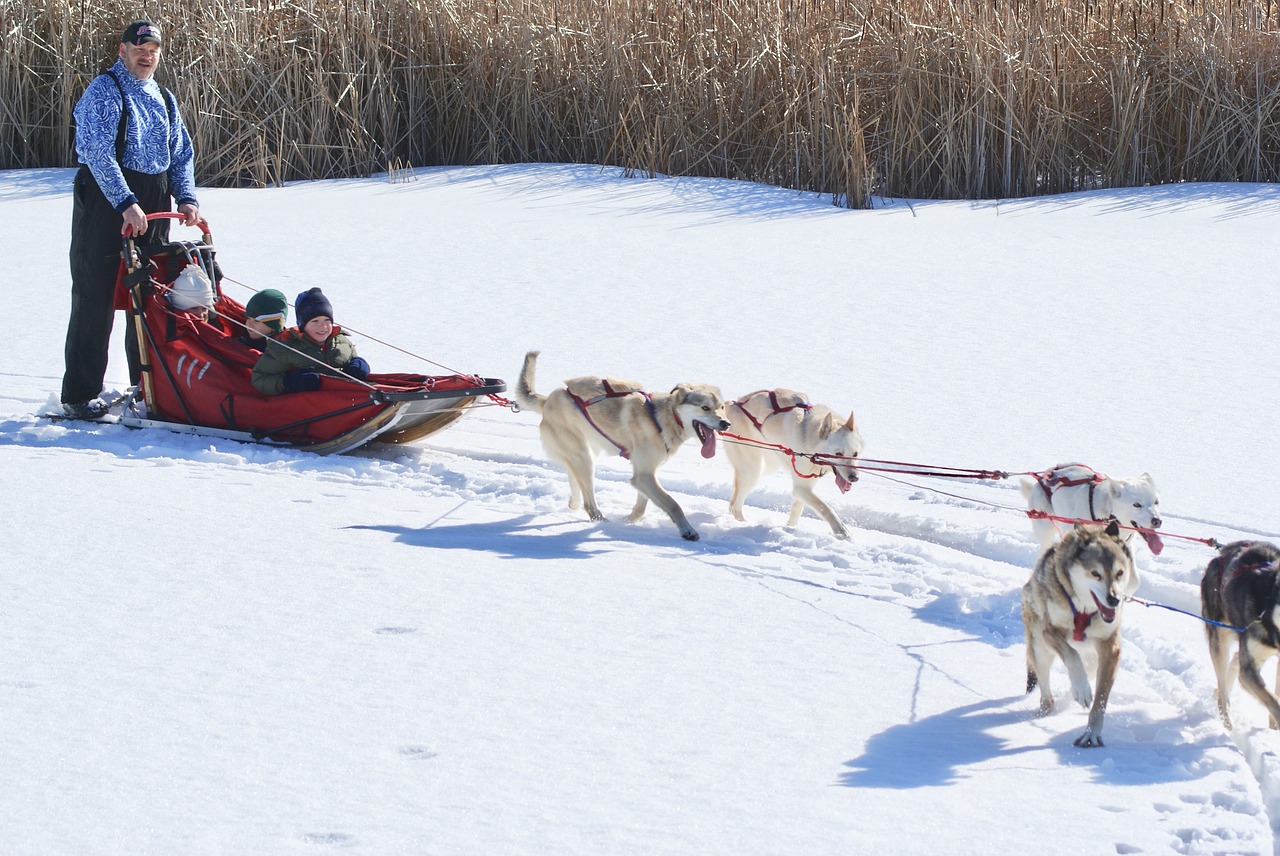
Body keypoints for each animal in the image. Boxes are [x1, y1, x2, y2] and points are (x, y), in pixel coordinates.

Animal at [512, 348, 732, 539]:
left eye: (721, 407)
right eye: (705, 407)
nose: (726, 423)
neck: (662, 419)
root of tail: (548, 399)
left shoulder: (645, 475)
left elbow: (642, 506)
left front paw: (629, 519)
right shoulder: (644, 476)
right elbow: (673, 504)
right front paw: (687, 530)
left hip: (583, 453)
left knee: (573, 476)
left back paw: (575, 502)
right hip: (584, 459)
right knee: (588, 500)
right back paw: (600, 519)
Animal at [727, 388, 865, 537]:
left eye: (855, 454)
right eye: (838, 454)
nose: (854, 477)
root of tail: (733, 404)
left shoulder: (805, 487)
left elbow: (796, 511)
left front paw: (790, 528)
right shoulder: (800, 488)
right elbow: (826, 508)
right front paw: (841, 531)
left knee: (732, 502)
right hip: (753, 470)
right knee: (735, 505)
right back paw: (744, 525)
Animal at [1024, 463, 1167, 557]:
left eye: (1156, 502)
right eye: (1136, 504)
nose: (1157, 521)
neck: (1109, 516)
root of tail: (1047, 474)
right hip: (1045, 527)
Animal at [1024, 516, 1136, 742]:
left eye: (1119, 573)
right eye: (1095, 574)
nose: (1114, 599)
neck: (1085, 610)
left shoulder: (1110, 648)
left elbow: (1101, 698)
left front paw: (1092, 733)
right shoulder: (1050, 632)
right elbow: (1071, 654)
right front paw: (1081, 689)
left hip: (1092, 657)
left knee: (1089, 665)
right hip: (1039, 647)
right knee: (1046, 690)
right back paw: (1046, 709)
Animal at [1192, 539, 1280, 726]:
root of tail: (1222, 553)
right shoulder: (1248, 670)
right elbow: (1274, 701)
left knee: (1234, 660)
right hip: (1220, 639)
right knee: (1223, 686)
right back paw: (1227, 719)